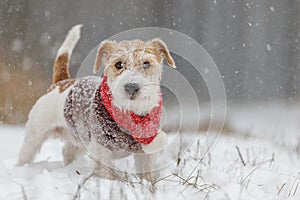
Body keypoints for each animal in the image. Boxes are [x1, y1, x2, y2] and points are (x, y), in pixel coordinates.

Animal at [17, 24, 176, 179]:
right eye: (118, 64)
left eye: (146, 64)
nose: (131, 87)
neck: (131, 113)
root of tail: (61, 82)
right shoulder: (101, 148)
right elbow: (105, 173)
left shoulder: (146, 152)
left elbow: (147, 173)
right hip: (35, 133)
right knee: (25, 154)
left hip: (79, 137)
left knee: (67, 150)